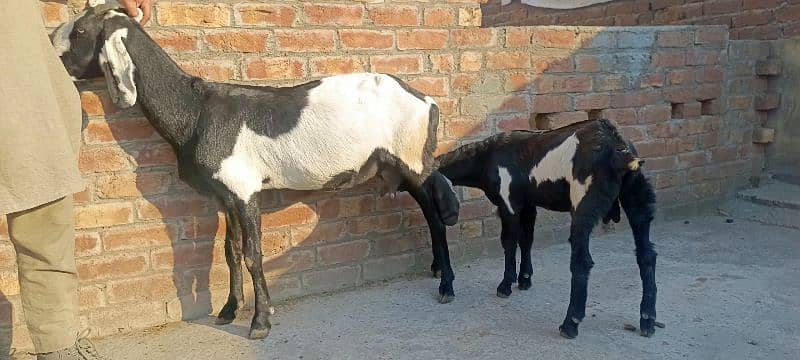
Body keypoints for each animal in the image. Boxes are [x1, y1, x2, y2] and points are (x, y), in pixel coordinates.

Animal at [53, 2, 460, 338]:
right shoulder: (225, 195)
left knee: (437, 217)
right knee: (429, 211)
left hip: (412, 160)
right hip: (399, 167)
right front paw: (228, 311)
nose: (51, 47)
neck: (195, 111)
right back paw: (437, 270)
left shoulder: (245, 189)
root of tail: (427, 101)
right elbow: (231, 251)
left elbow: (252, 254)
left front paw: (260, 322)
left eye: (81, 30)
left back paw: (447, 285)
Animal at [432, 119, 656, 338]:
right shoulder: (528, 204)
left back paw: (570, 324)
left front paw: (505, 285)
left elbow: (509, 241)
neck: (485, 157)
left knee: (582, 261)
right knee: (646, 255)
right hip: (637, 196)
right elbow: (526, 239)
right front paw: (524, 279)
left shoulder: (509, 203)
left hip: (584, 204)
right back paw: (647, 320)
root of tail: (618, 148)